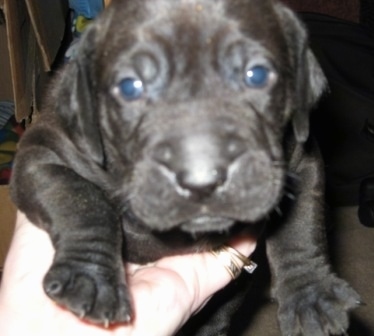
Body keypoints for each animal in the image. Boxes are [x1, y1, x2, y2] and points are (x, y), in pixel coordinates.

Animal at [10, 0, 360, 334]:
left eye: (257, 75)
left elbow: (299, 229)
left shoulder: (301, 161)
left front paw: (311, 295)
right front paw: (91, 277)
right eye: (130, 86)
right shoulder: (41, 154)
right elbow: (82, 201)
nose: (202, 180)